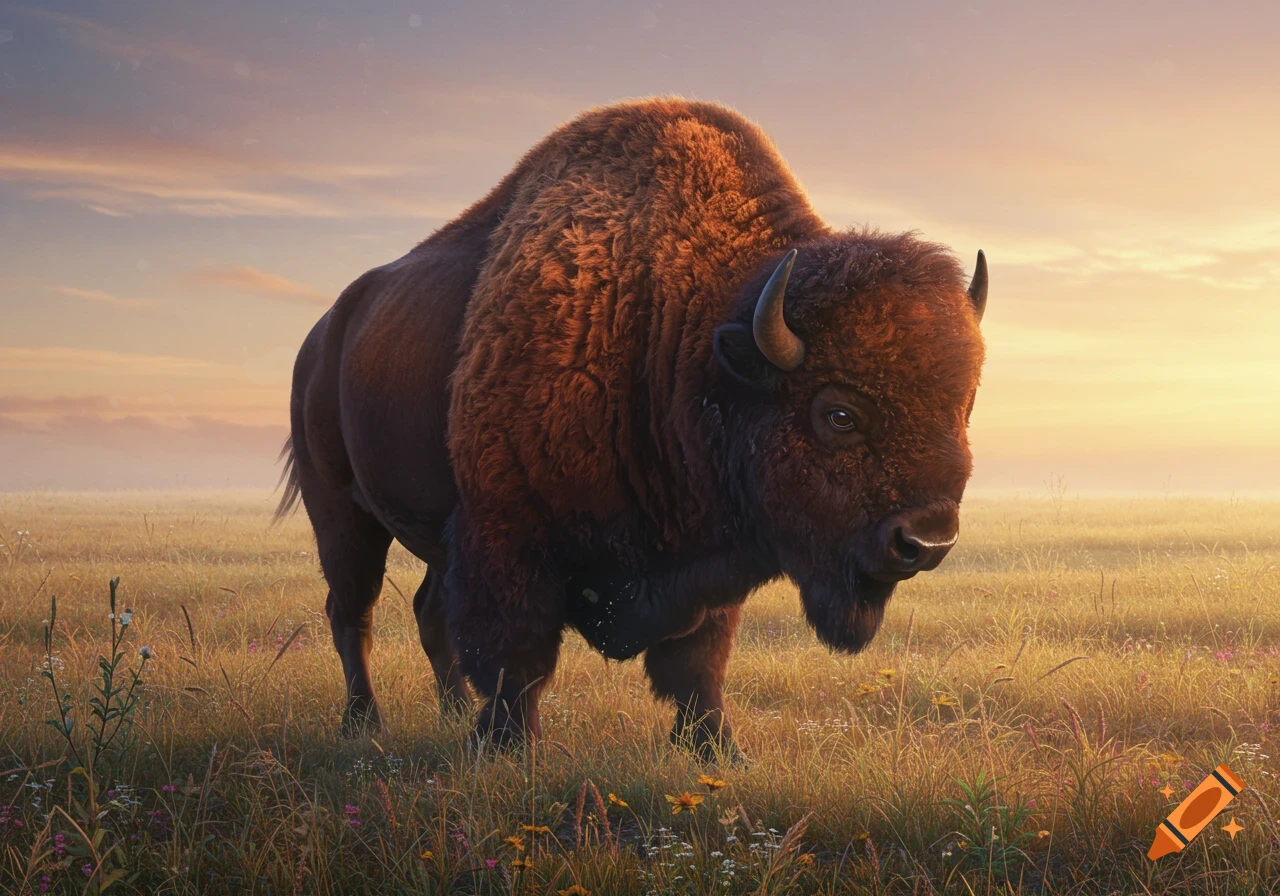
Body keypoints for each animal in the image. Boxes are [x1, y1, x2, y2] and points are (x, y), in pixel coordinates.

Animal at [278, 97, 987, 758]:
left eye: (964, 405)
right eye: (839, 414)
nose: (926, 542)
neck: (686, 334)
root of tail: (321, 336)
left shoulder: (711, 550)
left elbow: (698, 664)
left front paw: (718, 748)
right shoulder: (507, 534)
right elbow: (517, 659)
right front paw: (509, 749)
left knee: (426, 609)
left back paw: (450, 713)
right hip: (340, 511)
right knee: (353, 613)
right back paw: (363, 722)